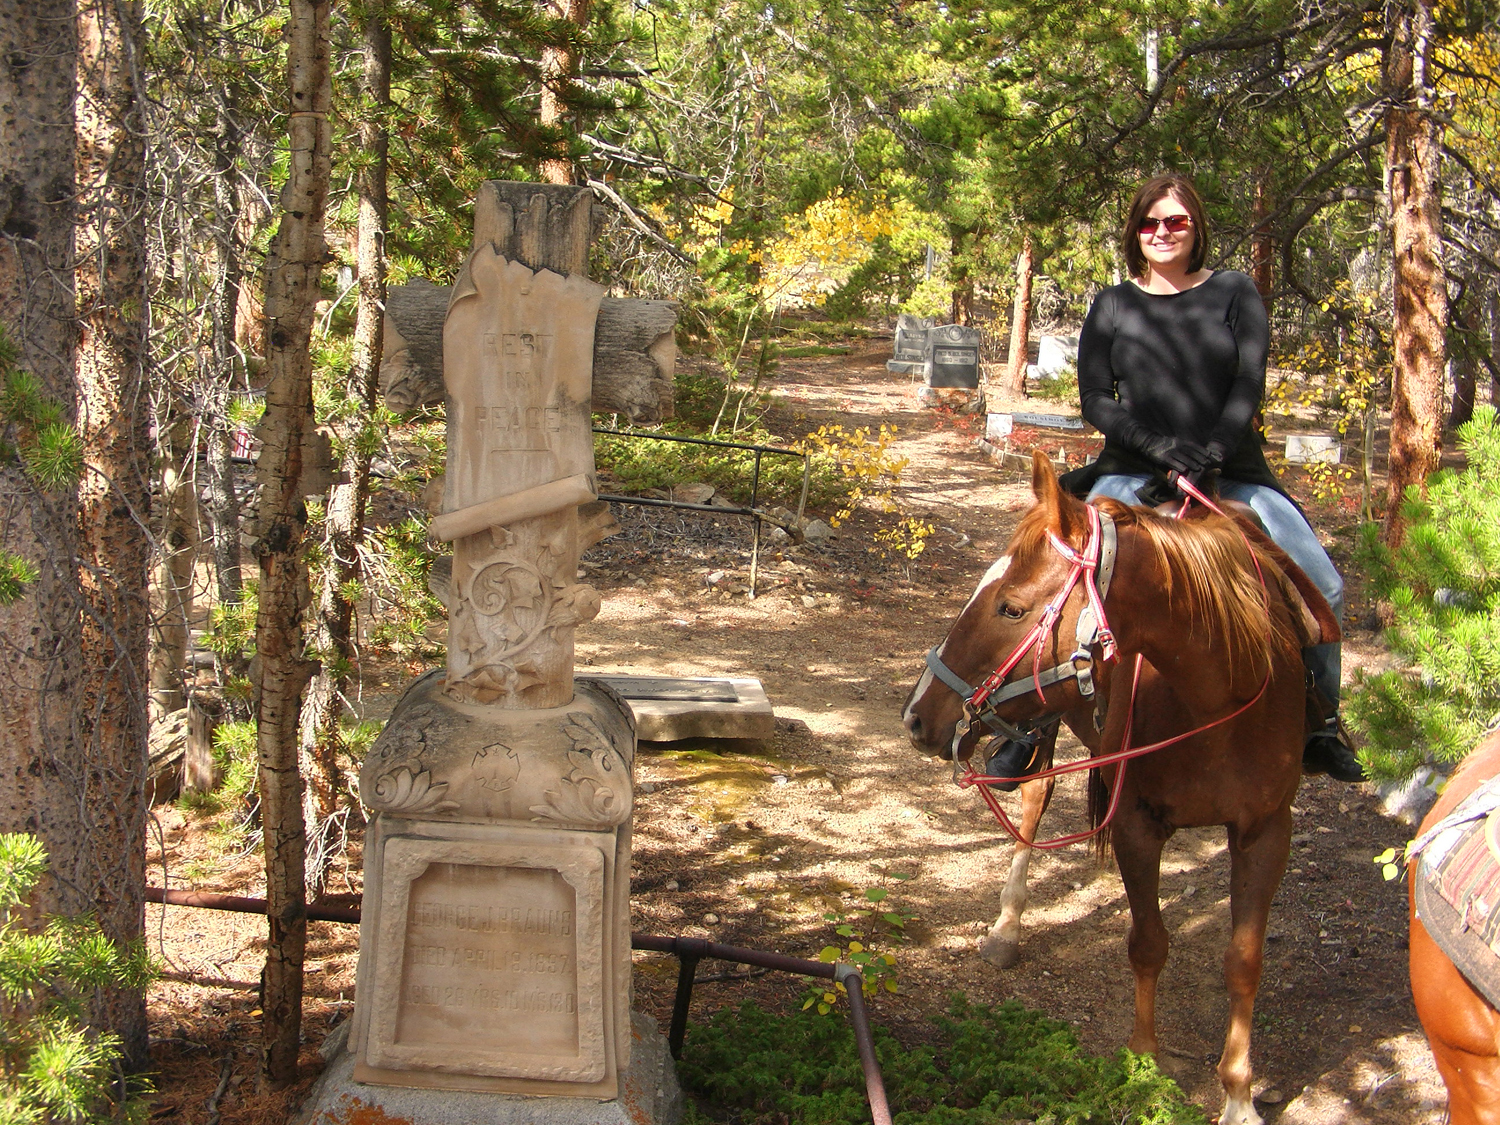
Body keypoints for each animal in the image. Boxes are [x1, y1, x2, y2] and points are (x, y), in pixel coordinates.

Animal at [900, 456, 1326, 1125]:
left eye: (1011, 609)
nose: (918, 717)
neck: (1218, 697)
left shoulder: (1266, 832)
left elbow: (1243, 963)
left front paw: (1238, 1095)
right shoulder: (1134, 824)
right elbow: (1148, 943)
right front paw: (1144, 1062)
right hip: (1037, 727)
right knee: (1031, 808)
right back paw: (1006, 928)